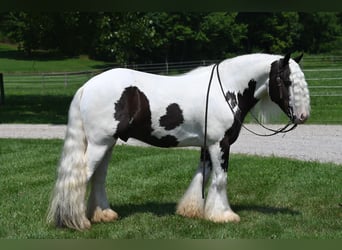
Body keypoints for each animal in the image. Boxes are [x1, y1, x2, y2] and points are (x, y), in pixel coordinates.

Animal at [46, 52, 312, 230]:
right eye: (287, 81)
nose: (302, 116)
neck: (227, 89)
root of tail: (87, 86)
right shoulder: (220, 144)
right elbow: (220, 178)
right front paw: (224, 215)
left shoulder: (207, 145)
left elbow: (201, 176)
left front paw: (192, 210)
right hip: (99, 144)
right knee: (81, 177)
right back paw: (75, 221)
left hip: (107, 143)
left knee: (98, 178)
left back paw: (103, 214)